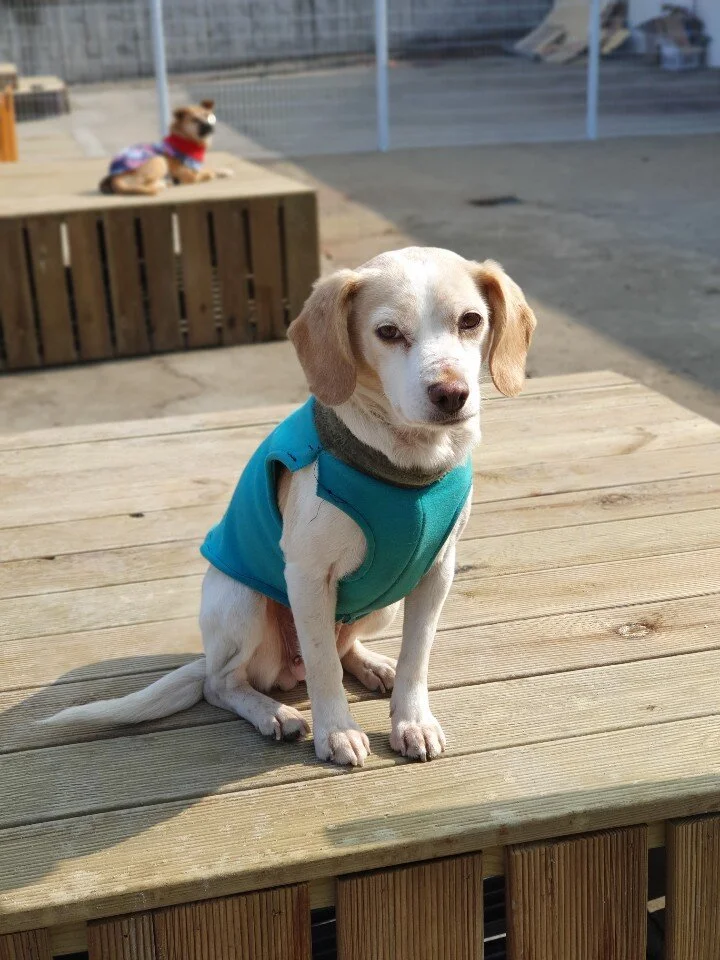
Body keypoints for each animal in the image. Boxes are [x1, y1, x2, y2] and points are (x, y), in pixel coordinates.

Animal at [44, 247, 536, 767]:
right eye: (387, 332)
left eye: (470, 321)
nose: (452, 394)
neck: (407, 465)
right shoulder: (307, 576)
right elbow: (322, 665)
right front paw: (337, 731)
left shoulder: (436, 571)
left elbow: (415, 657)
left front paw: (412, 721)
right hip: (241, 600)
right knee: (223, 684)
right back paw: (273, 714)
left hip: (383, 606)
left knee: (344, 648)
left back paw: (370, 666)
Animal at [99, 99, 233, 197]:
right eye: (194, 120)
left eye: (208, 115)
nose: (209, 127)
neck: (185, 139)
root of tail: (115, 177)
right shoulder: (185, 173)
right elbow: (205, 172)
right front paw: (209, 174)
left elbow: (212, 168)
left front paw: (225, 171)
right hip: (159, 160)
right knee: (144, 184)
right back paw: (164, 184)